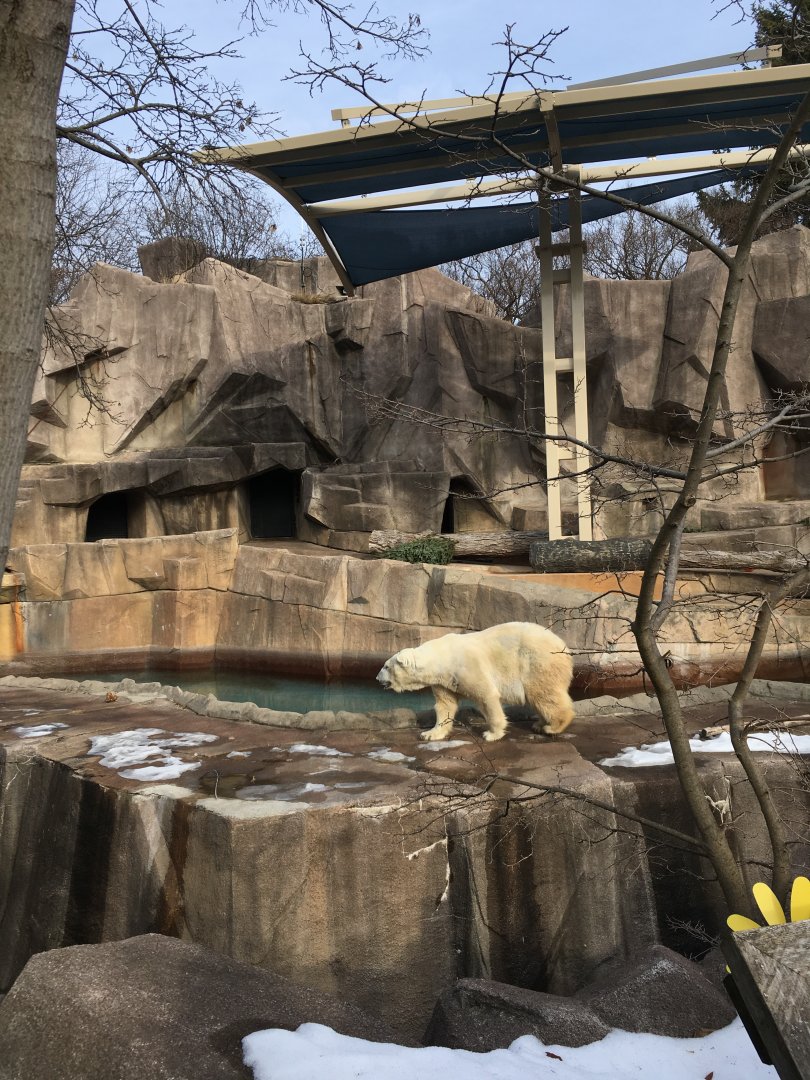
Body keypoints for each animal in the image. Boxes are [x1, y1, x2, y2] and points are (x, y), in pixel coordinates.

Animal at [376, 621, 575, 742]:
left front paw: (492, 734)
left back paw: (552, 727)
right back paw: (539, 724)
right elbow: (445, 705)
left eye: (385, 666)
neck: (443, 658)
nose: (377, 678)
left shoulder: (468, 667)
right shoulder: (444, 680)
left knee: (544, 694)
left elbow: (487, 695)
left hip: (536, 662)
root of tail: (564, 647)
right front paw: (430, 734)